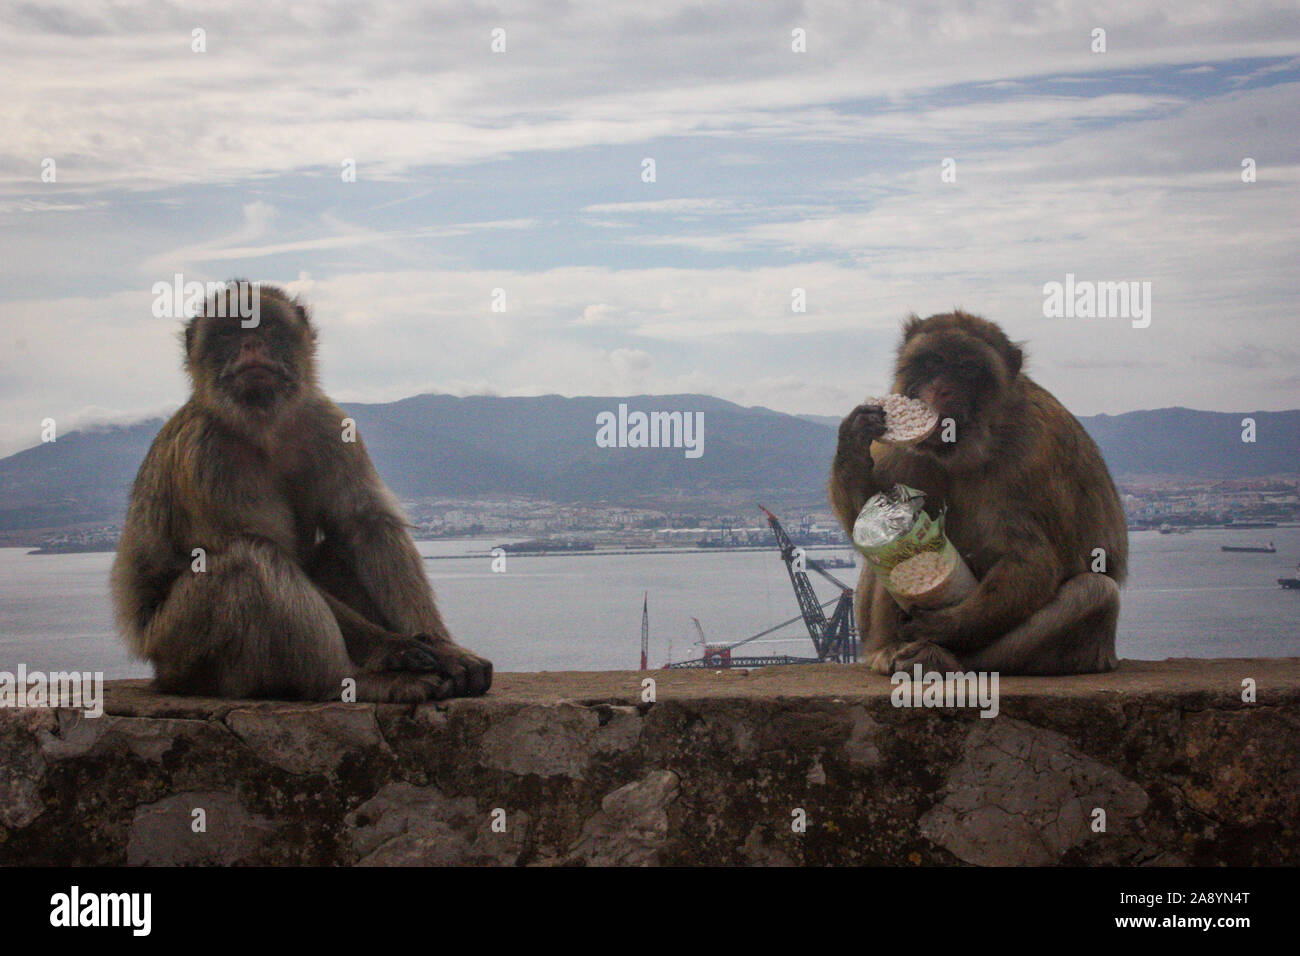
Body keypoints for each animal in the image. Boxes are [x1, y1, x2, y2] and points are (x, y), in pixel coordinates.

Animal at [110, 282, 491, 702]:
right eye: (228, 333)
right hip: (181, 646)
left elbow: (367, 527)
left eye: (266, 326)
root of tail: (158, 669)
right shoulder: (206, 454)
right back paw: (346, 680)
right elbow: (268, 551)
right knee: (251, 559)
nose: (251, 343)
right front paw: (395, 647)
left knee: (339, 548)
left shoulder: (330, 423)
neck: (265, 427)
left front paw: (443, 646)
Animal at [832, 310, 1128, 676]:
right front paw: (854, 436)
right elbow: (866, 517)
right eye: (933, 362)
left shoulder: (1033, 452)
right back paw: (889, 651)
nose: (941, 389)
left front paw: (944, 625)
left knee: (1096, 592)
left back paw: (945, 658)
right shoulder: (901, 451)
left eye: (968, 369)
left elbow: (1033, 559)